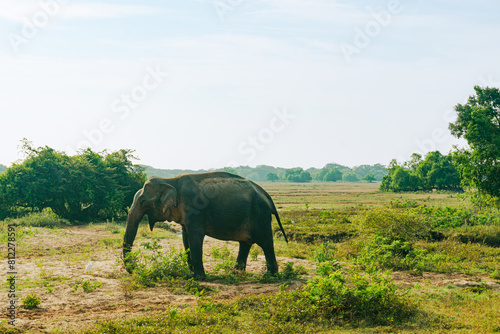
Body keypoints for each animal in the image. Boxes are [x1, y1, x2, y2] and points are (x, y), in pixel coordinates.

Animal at [122, 171, 290, 278]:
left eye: (142, 201)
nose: (134, 271)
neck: (170, 180)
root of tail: (267, 196)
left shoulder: (194, 207)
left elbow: (195, 235)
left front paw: (197, 277)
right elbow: (186, 237)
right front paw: (191, 272)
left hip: (260, 214)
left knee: (266, 242)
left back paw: (269, 276)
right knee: (245, 243)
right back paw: (235, 273)